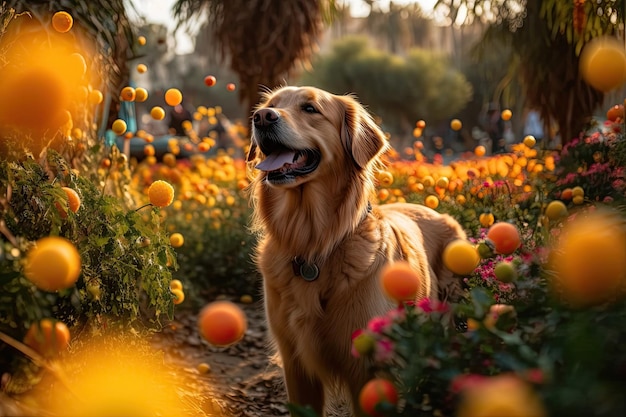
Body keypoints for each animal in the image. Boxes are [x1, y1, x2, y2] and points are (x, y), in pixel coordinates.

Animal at [246, 86, 466, 414]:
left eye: (310, 108)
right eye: (271, 105)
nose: (261, 117)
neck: (314, 245)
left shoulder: (370, 369)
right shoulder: (296, 364)